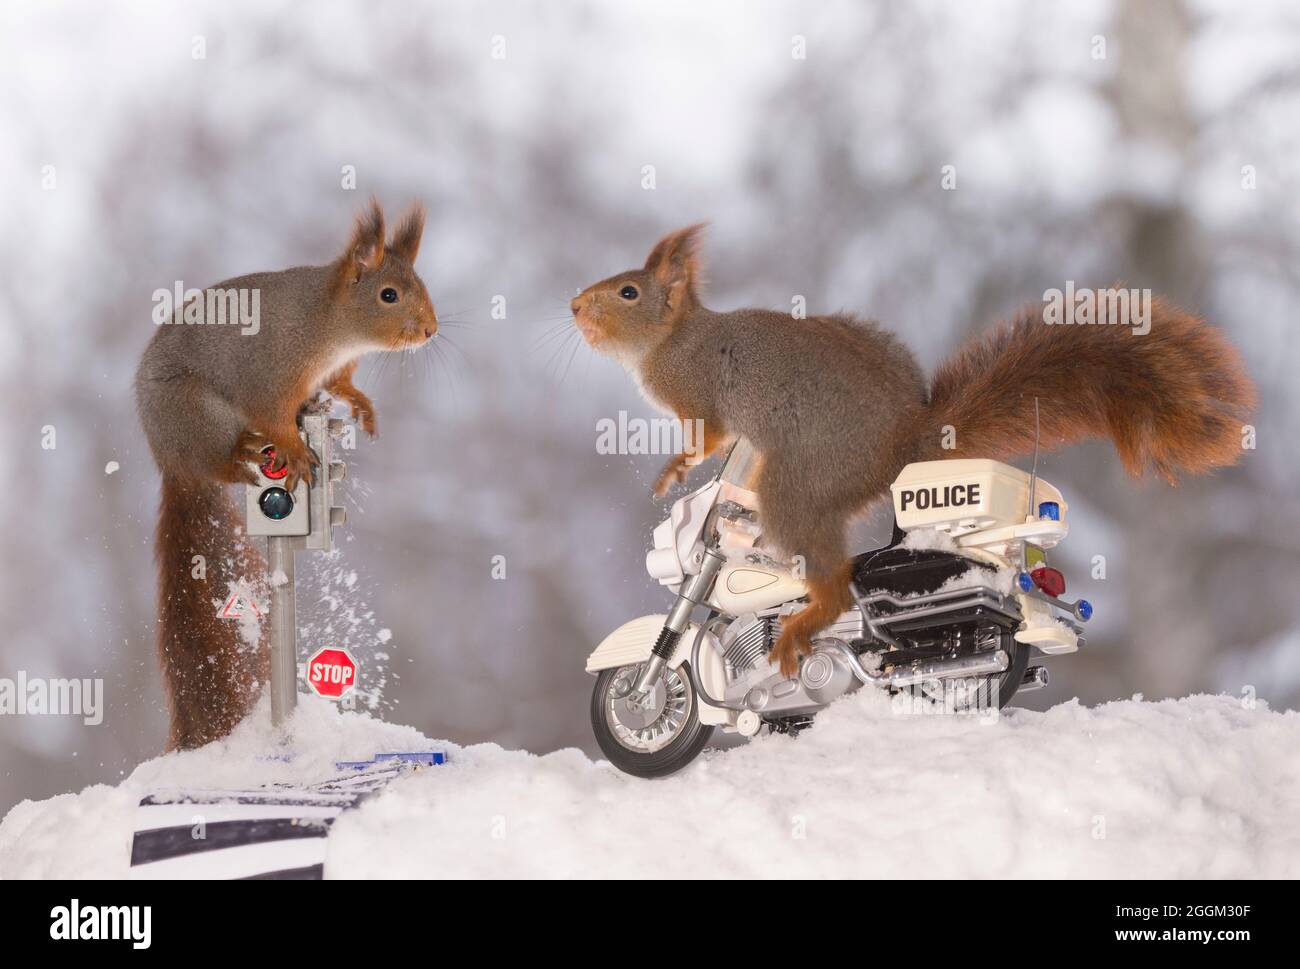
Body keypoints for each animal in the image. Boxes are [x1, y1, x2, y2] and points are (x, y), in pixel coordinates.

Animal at [134, 200, 436, 749]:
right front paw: (294, 448)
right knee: (224, 461)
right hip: (198, 416)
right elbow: (275, 416)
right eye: (388, 295)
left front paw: (360, 405)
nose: (431, 330)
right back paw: (248, 453)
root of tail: (172, 461)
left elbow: (341, 387)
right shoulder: (271, 376)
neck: (329, 325)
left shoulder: (332, 371)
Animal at [572, 223, 1258, 676]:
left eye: (629, 292)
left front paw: (675, 471)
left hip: (803, 486)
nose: (575, 305)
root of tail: (902, 444)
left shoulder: (697, 394)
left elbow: (707, 437)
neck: (671, 340)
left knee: (836, 589)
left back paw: (802, 630)